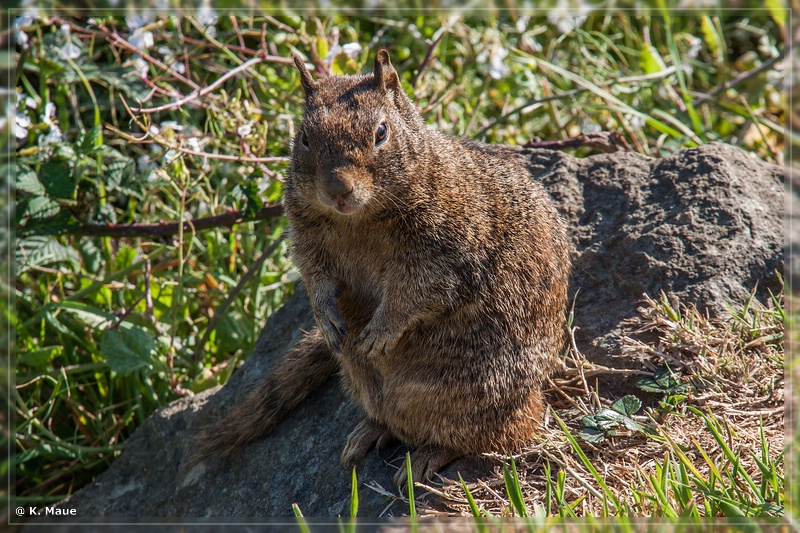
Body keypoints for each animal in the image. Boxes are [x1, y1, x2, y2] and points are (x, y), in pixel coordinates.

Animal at [197, 50, 572, 486]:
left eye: (381, 132)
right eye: (305, 137)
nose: (338, 189)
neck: (358, 219)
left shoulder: (443, 253)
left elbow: (414, 294)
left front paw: (379, 333)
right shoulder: (308, 244)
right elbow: (316, 280)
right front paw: (327, 319)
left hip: (480, 394)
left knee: (494, 436)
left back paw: (426, 457)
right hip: (362, 382)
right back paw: (366, 433)